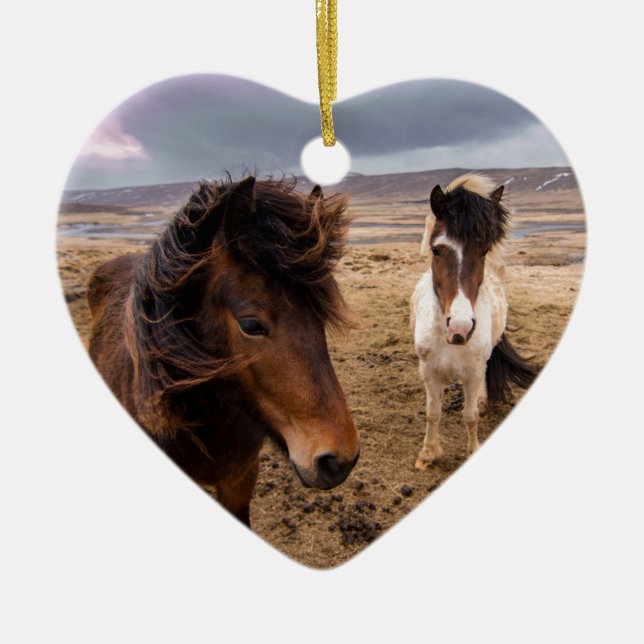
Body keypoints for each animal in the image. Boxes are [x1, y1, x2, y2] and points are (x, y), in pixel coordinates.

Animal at [411, 174, 537, 470]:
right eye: (436, 249)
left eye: (483, 250)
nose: (460, 327)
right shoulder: (429, 371)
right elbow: (432, 413)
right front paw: (428, 454)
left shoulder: (472, 373)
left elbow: (469, 416)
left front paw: (472, 450)